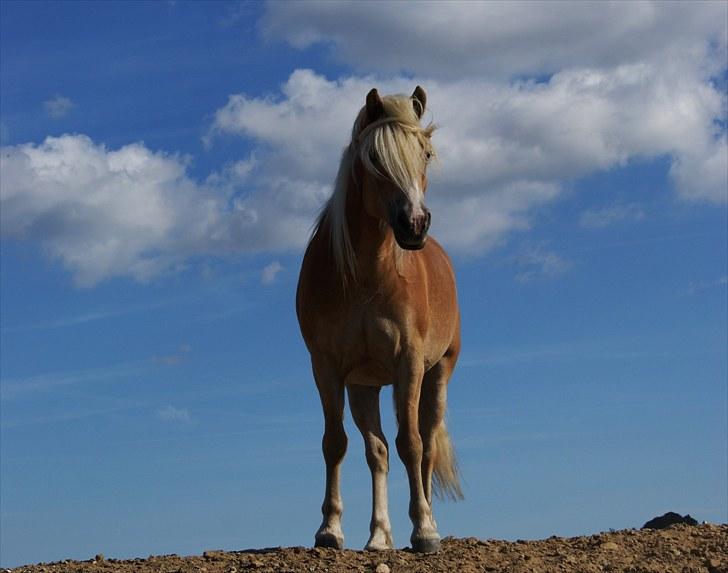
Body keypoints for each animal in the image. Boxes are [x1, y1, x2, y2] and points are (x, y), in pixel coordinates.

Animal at [296, 86, 460, 556]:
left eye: (425, 153)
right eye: (374, 158)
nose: (415, 224)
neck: (368, 275)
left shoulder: (409, 363)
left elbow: (413, 445)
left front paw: (424, 530)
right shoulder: (327, 367)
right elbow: (336, 444)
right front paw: (329, 529)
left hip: (437, 375)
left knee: (425, 447)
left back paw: (425, 521)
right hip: (364, 386)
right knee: (378, 452)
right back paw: (379, 535)